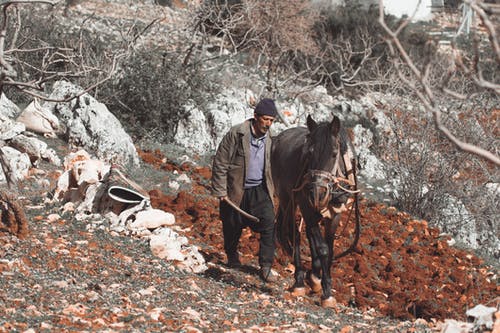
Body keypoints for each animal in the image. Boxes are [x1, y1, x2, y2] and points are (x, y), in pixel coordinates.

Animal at [270, 113, 360, 306]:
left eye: (334, 154)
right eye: (309, 153)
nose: (317, 192)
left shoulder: (334, 215)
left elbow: (329, 248)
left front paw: (319, 280)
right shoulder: (307, 208)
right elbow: (322, 248)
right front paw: (325, 291)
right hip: (287, 199)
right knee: (293, 233)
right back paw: (299, 280)